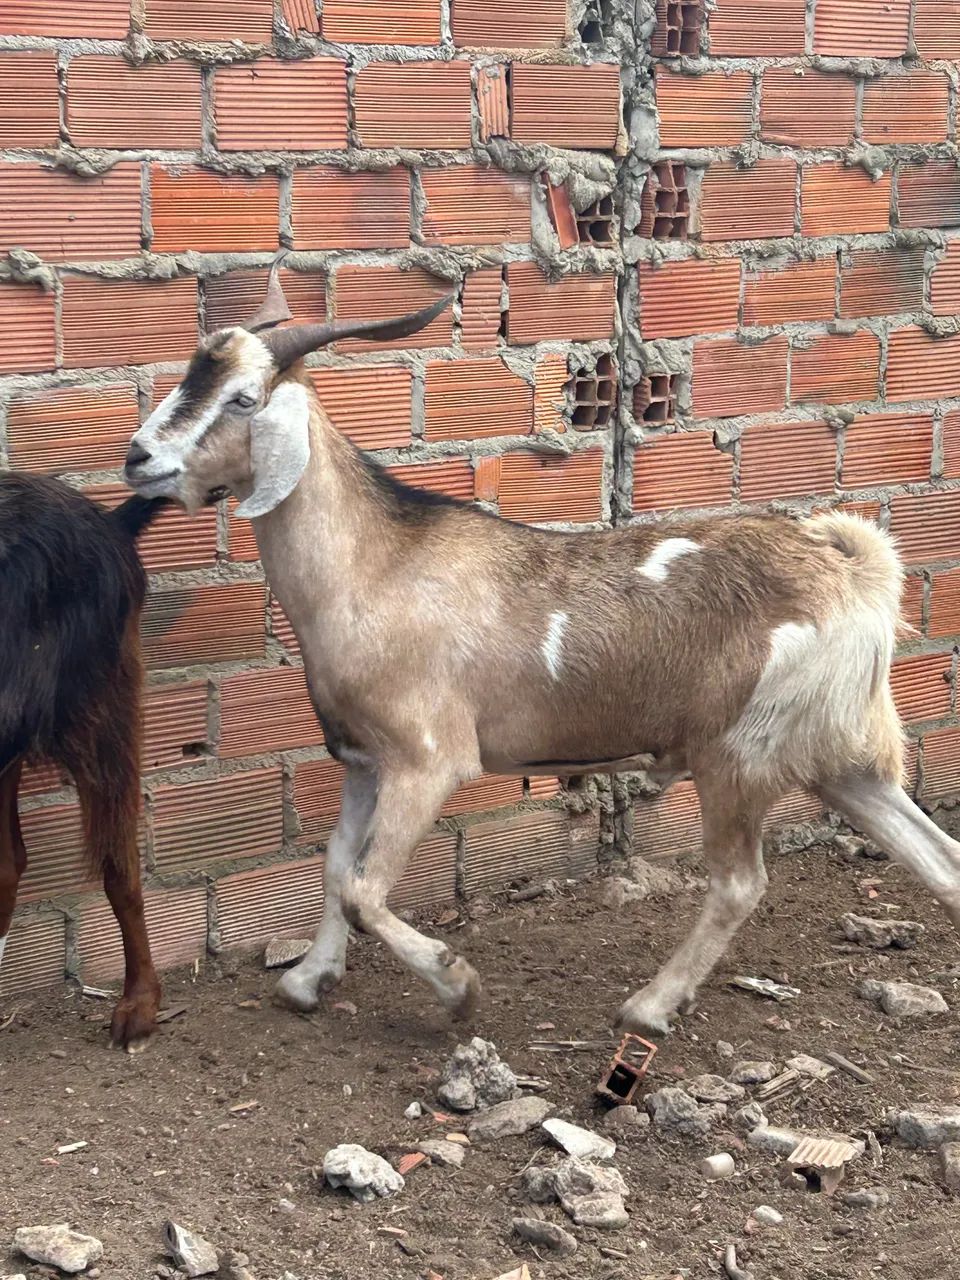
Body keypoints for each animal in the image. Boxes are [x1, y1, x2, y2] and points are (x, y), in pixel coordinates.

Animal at [123, 261, 960, 1036]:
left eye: (243, 398)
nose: (138, 459)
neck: (375, 566)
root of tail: (853, 572)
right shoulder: (365, 758)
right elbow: (334, 868)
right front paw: (307, 980)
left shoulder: (428, 759)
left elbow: (363, 889)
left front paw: (458, 985)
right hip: (842, 755)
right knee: (939, 861)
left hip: (739, 752)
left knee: (738, 884)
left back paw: (648, 1006)